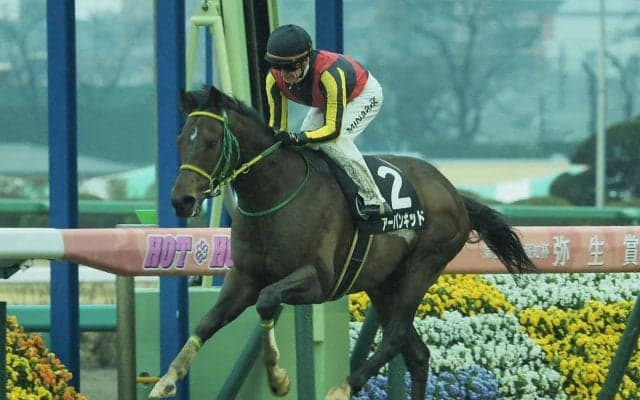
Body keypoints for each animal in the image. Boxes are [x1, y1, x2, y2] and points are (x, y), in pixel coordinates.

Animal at [149, 85, 537, 400]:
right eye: (181, 140)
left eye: (211, 141)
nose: (181, 200)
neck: (274, 193)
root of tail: (453, 191)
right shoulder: (243, 277)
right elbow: (207, 322)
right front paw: (167, 380)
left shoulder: (318, 279)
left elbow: (267, 300)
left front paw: (278, 378)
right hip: (384, 283)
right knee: (417, 354)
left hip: (423, 266)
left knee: (395, 337)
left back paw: (341, 387)